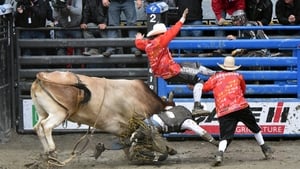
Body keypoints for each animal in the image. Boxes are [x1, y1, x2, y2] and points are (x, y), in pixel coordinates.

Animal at [31, 70, 171, 162]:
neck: (143, 97)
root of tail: (43, 75)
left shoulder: (120, 129)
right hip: (59, 113)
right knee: (46, 126)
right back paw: (51, 149)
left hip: (42, 112)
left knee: (38, 127)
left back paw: (48, 153)